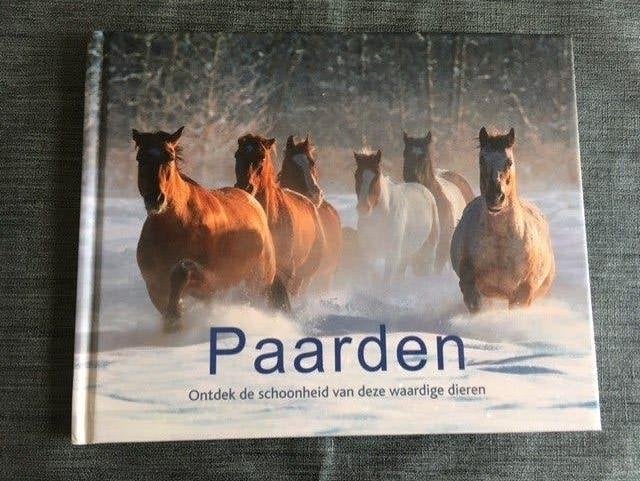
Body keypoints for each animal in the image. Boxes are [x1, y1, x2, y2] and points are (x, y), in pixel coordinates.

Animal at [133, 127, 289, 329]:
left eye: (170, 157)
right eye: (140, 158)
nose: (155, 198)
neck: (174, 229)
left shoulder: (210, 279)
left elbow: (182, 270)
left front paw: (175, 316)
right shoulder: (154, 283)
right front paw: (173, 319)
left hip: (256, 283)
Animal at [354, 149, 440, 284]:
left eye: (376, 176)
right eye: (356, 175)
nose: (363, 208)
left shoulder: (392, 256)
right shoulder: (369, 254)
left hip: (429, 249)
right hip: (407, 252)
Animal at [450, 127, 555, 312]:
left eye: (509, 162)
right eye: (481, 160)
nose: (495, 198)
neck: (501, 243)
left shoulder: (523, 292)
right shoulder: (471, 287)